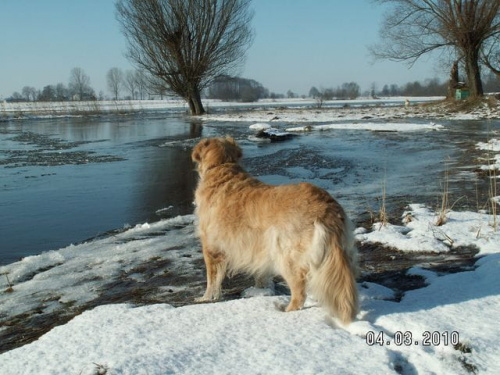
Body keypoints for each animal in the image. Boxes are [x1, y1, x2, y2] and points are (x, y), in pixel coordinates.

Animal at [192, 137, 360, 324]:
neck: (222, 166)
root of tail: (326, 209)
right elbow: (261, 274)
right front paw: (260, 290)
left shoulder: (211, 247)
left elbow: (212, 279)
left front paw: (206, 298)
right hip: (342, 253)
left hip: (287, 257)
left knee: (299, 292)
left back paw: (287, 311)